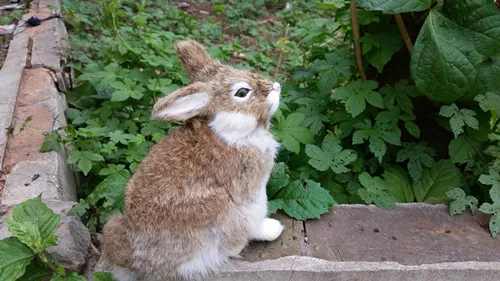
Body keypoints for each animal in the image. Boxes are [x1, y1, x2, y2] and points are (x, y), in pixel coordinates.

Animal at [95, 40, 286, 280]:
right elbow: (254, 220)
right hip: (217, 208)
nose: (275, 86)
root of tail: (141, 265)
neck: (226, 132)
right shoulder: (250, 196)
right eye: (242, 92)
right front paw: (273, 228)